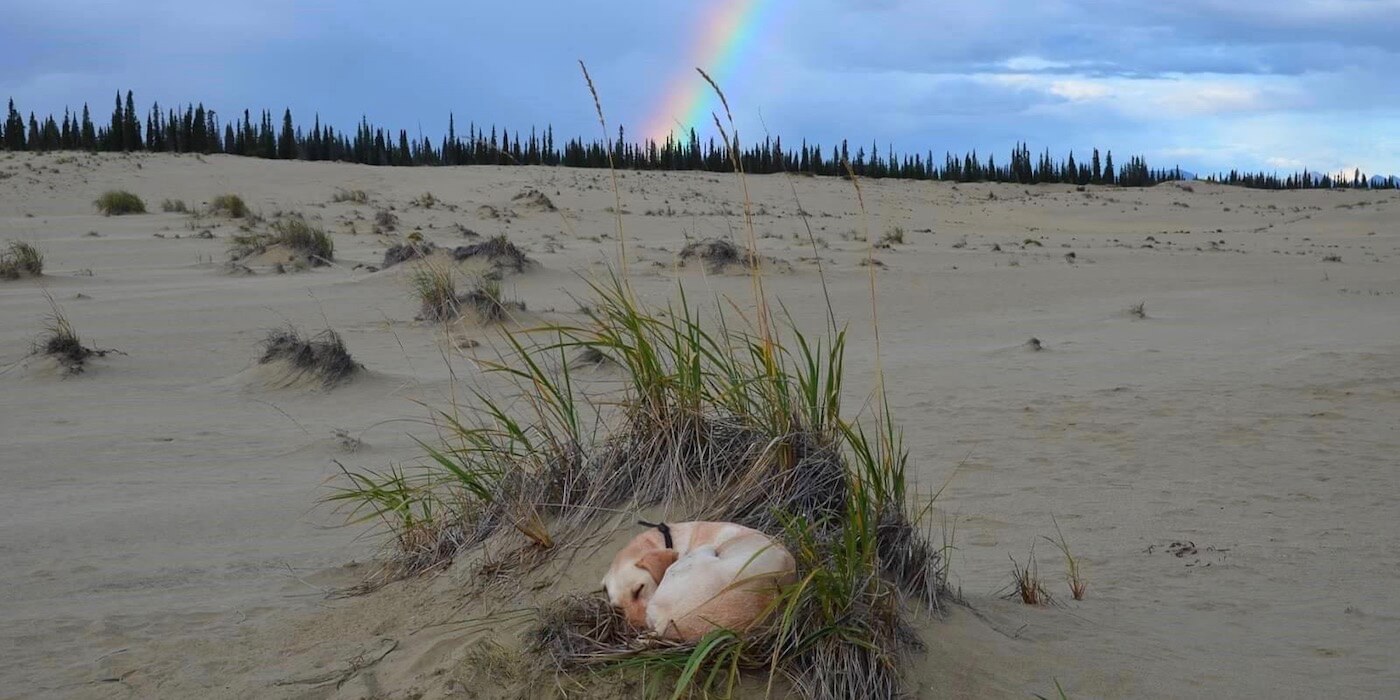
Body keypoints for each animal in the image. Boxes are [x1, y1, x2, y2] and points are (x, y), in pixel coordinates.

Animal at [602, 520, 800, 641]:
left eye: (638, 589)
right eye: (618, 608)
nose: (636, 629)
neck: (668, 539)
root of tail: (667, 620)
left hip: (702, 551)